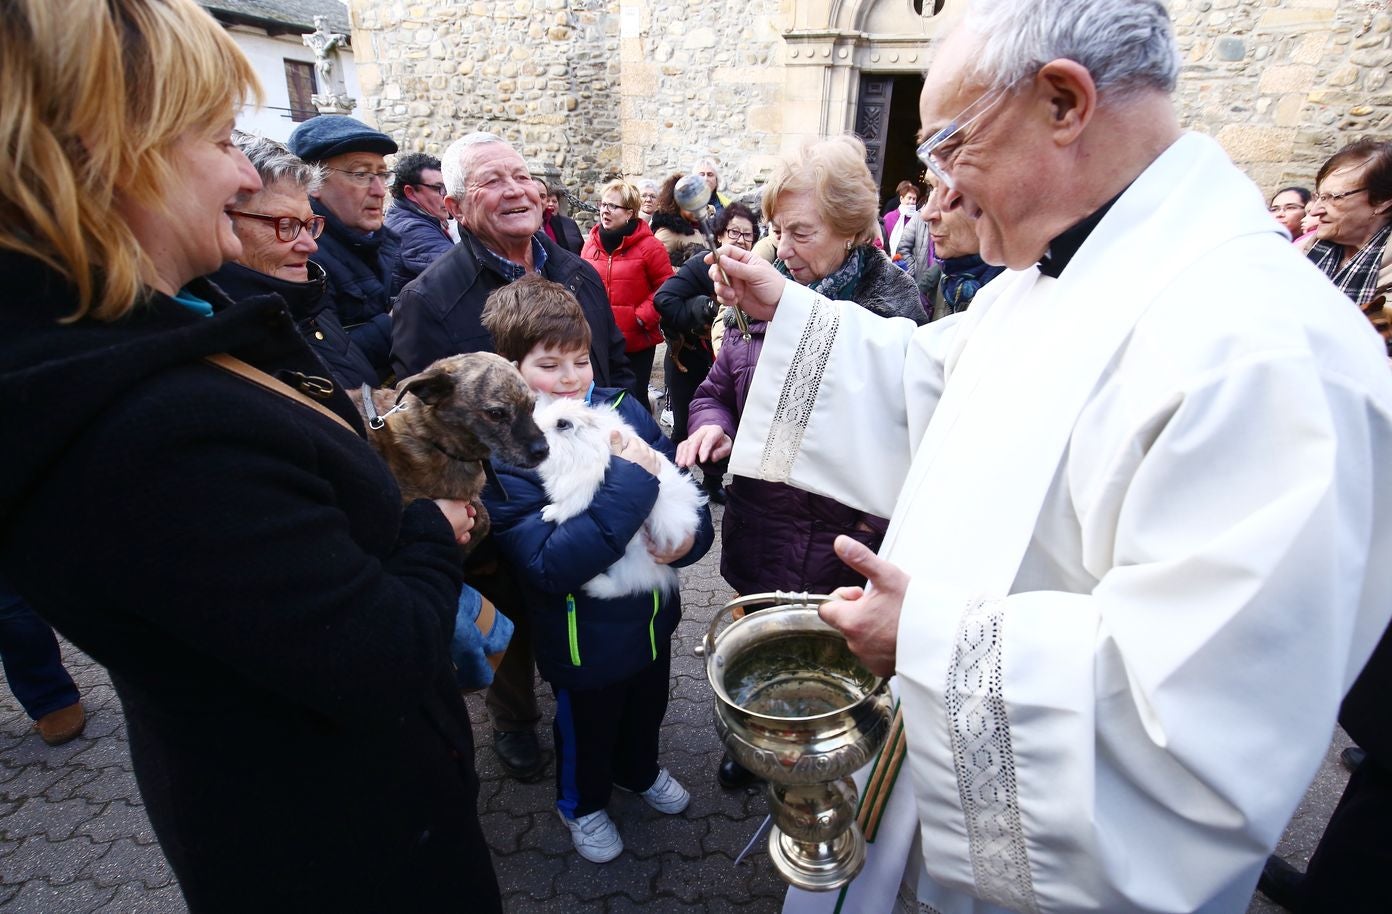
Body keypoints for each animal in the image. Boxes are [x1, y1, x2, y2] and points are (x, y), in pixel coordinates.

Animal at [531, 397, 707, 598]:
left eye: (562, 424)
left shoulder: (582, 485)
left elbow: (570, 505)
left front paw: (548, 513)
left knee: (625, 585)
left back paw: (592, 584)